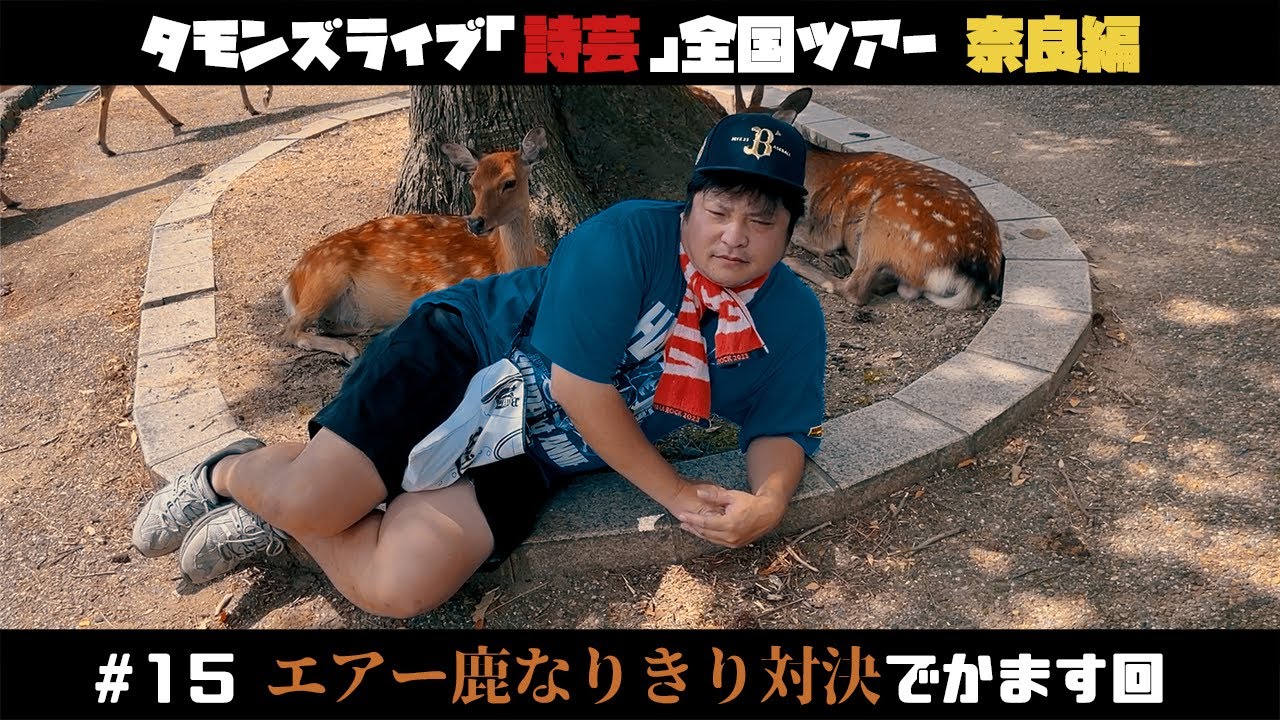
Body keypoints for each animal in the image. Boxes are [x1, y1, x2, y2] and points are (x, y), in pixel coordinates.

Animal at [281, 126, 550, 362]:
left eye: (510, 182)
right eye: (473, 184)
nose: (475, 222)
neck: (502, 263)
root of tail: (291, 282)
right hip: (327, 276)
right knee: (291, 330)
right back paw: (350, 350)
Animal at [734, 85, 1003, 309]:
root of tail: (977, 277)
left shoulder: (826, 226)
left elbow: (803, 237)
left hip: (884, 218)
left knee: (855, 289)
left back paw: (800, 263)